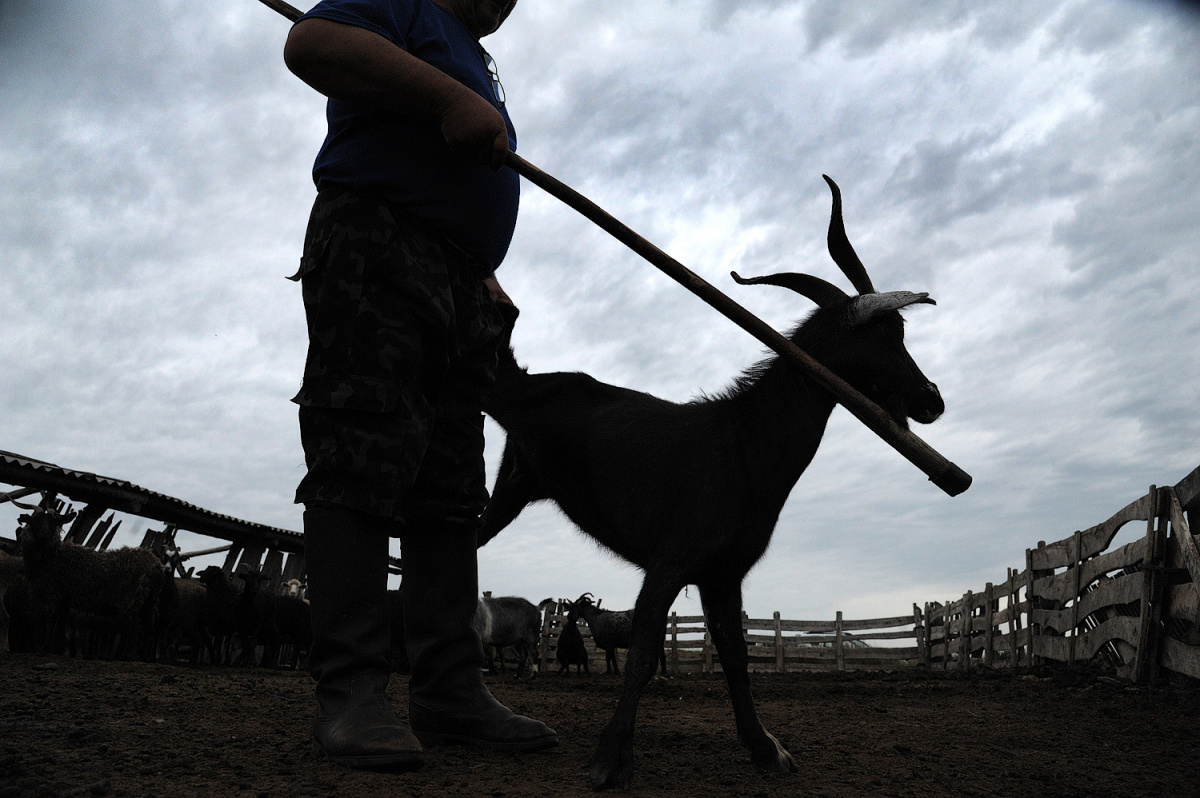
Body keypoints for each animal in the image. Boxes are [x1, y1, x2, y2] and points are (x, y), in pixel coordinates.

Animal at [14, 504, 171, 657]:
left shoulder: (51, 593)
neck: (53, 555)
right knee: (149, 629)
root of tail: (156, 564)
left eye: (54, 522)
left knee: (136, 631)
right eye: (34, 520)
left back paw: (129, 657)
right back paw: (145, 657)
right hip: (149, 601)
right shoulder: (64, 599)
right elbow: (60, 623)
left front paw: (44, 649)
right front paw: (56, 649)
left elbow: (49, 622)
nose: (44, 534)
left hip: (132, 598)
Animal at [477, 177, 945, 787]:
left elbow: (737, 657)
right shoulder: (670, 561)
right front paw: (610, 758)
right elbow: (644, 654)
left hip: (512, 488)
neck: (742, 444)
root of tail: (529, 381)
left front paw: (766, 749)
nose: (932, 400)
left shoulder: (724, 574)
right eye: (882, 335)